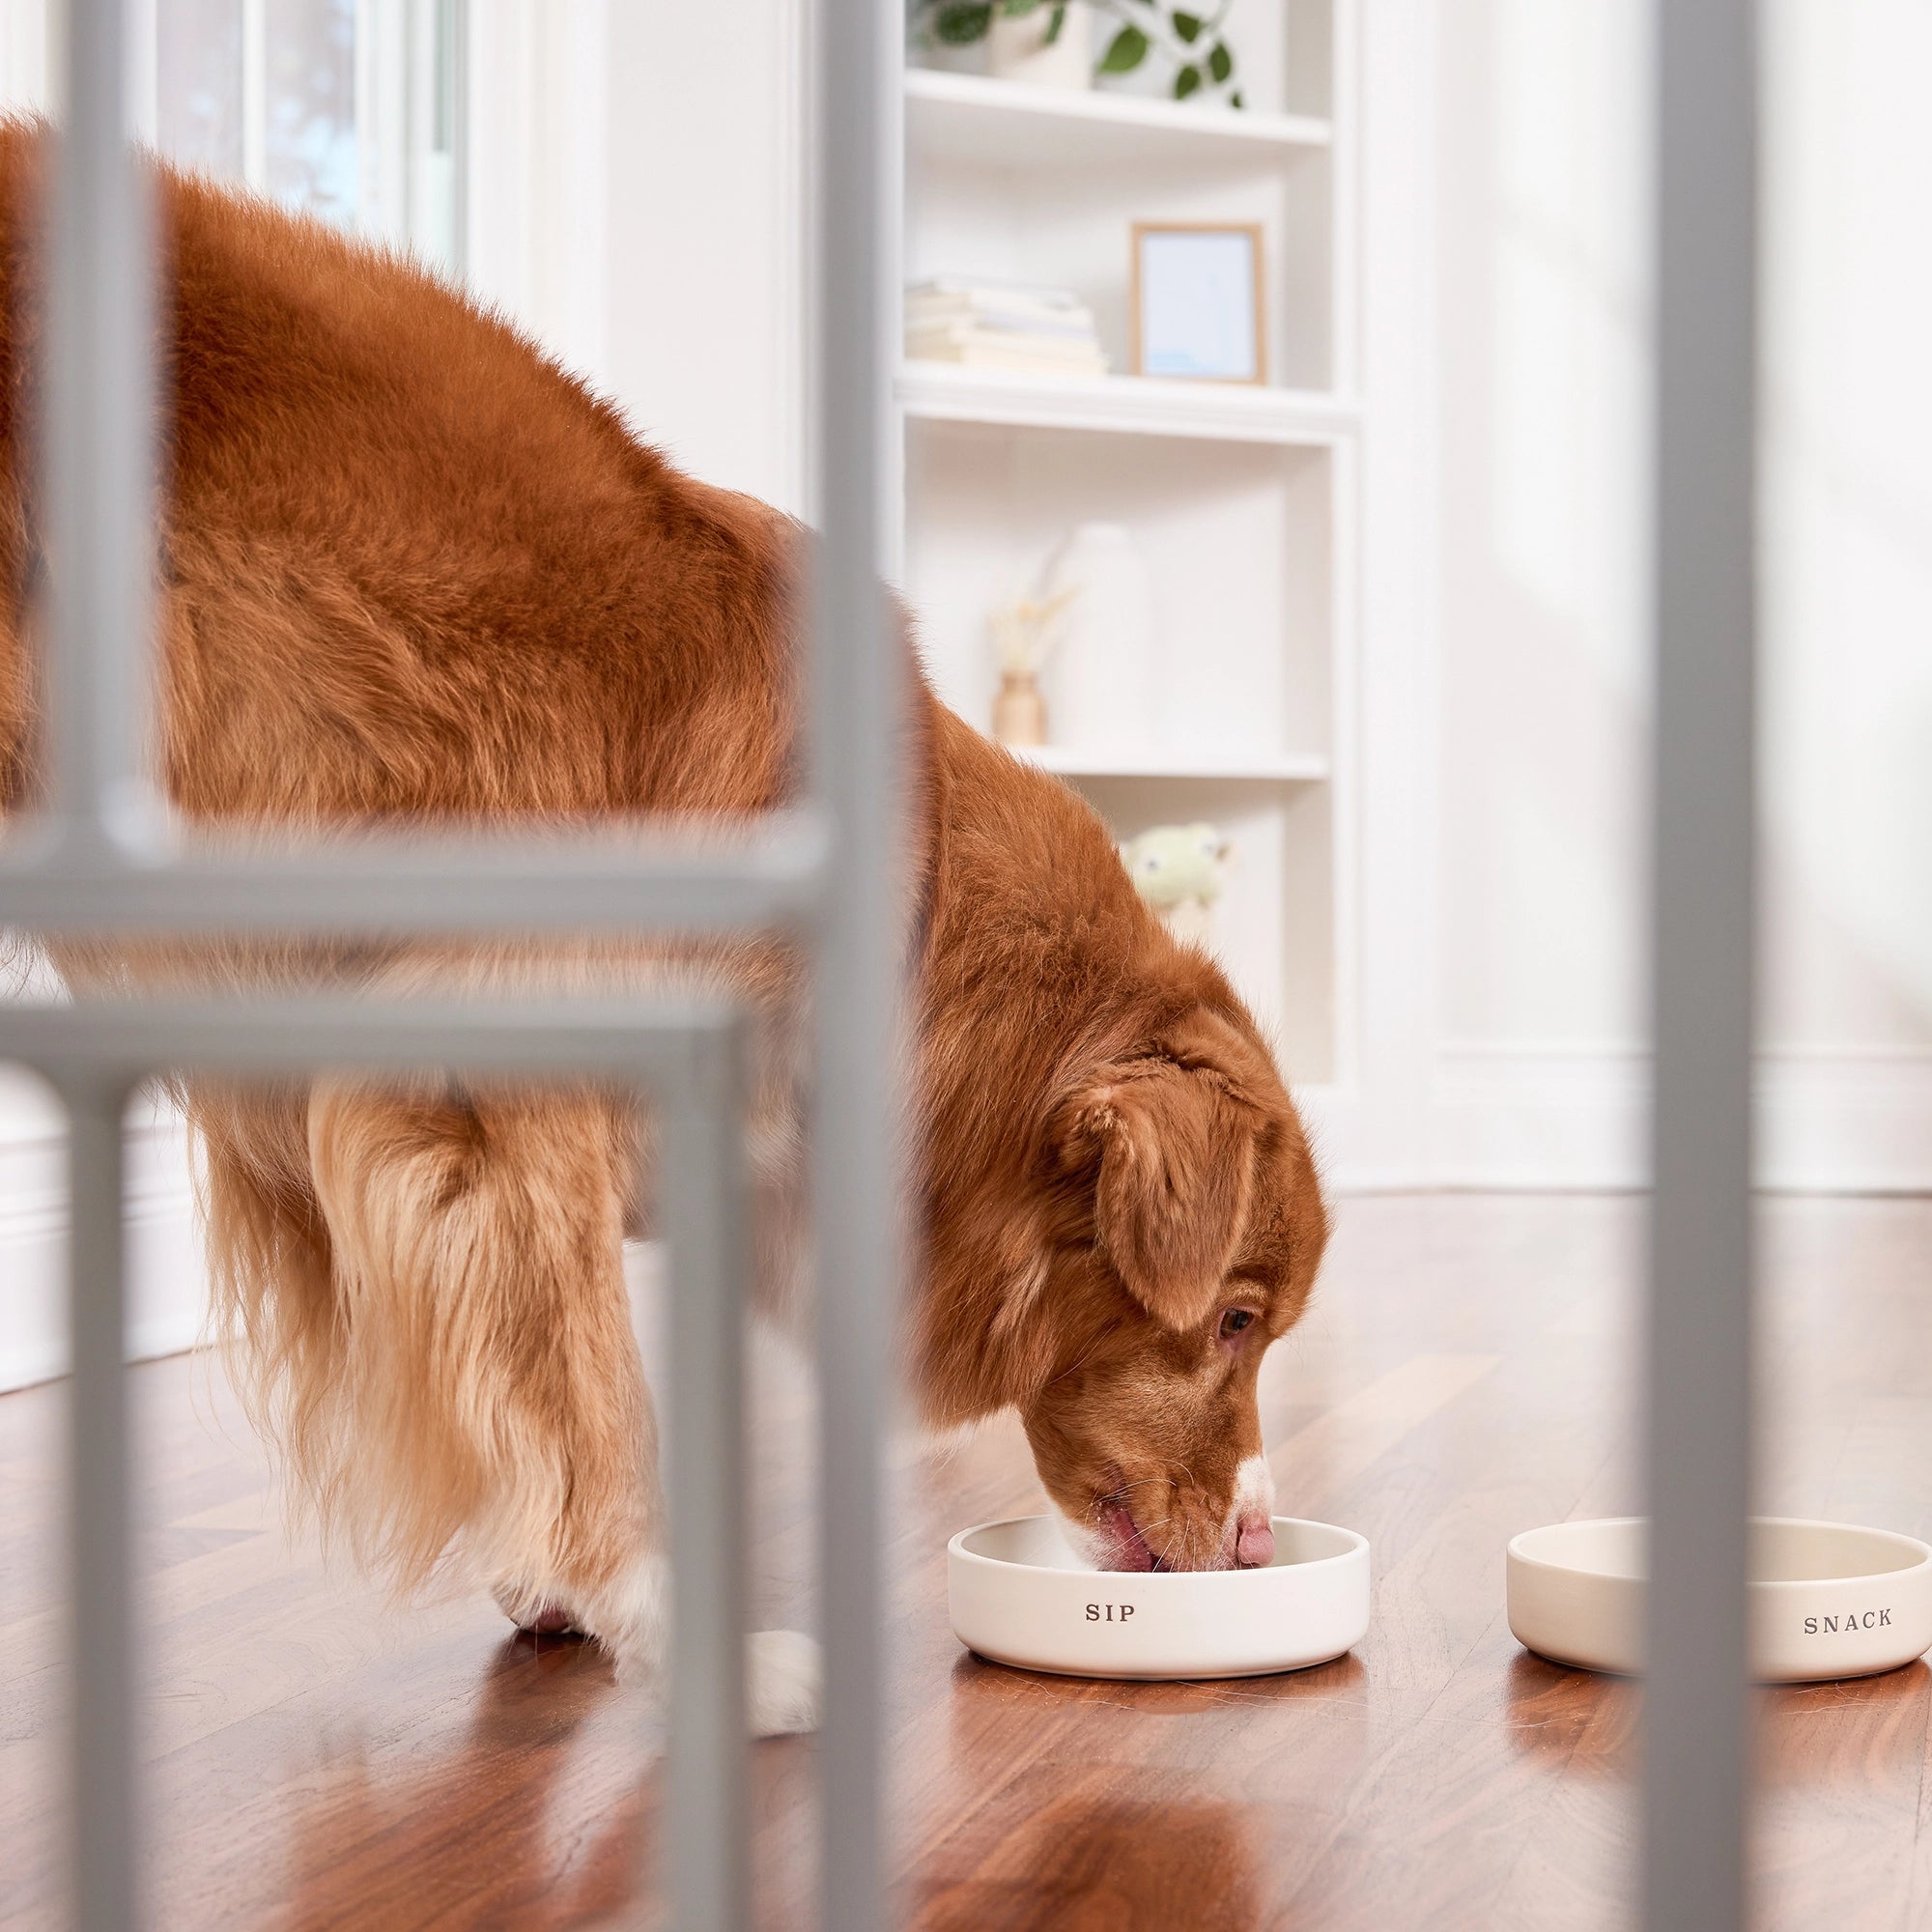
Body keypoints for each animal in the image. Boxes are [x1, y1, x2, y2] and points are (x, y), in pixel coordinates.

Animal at [0, 132, 1329, 1739]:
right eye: (1239, 1320)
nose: (1257, 1539)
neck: (905, 921)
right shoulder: (504, 1097)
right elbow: (594, 1399)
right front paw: (688, 1643)